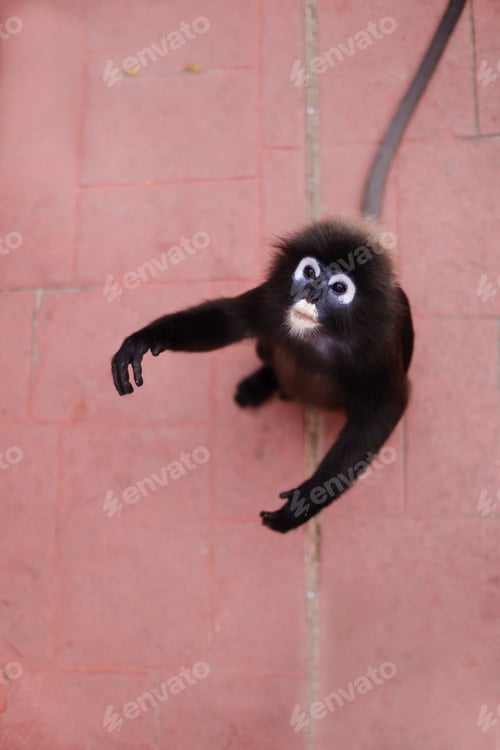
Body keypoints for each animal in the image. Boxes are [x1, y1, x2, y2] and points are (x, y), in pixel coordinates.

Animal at [110, 0, 465, 532]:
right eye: (310, 273)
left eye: (339, 289)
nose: (311, 295)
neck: (320, 334)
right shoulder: (273, 296)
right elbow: (232, 320)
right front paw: (145, 339)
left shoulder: (379, 345)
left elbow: (384, 410)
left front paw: (302, 503)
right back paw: (263, 382)